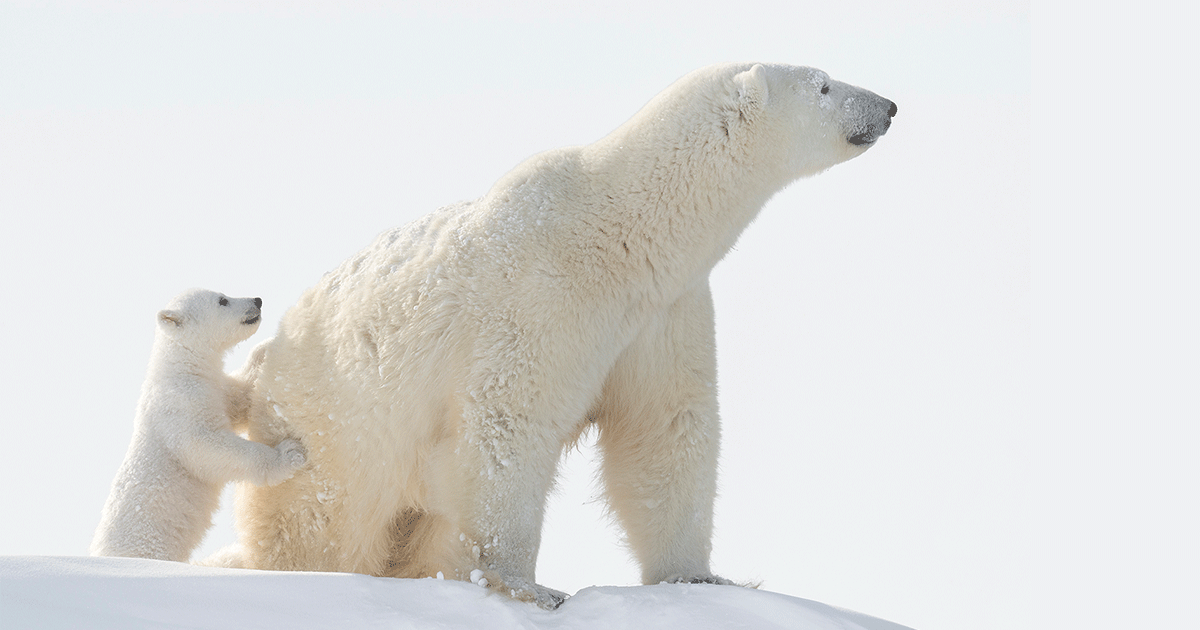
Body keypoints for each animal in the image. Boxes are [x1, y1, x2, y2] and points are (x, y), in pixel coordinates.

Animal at [90, 288, 307, 562]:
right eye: (222, 300)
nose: (257, 301)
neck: (181, 367)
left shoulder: (216, 389)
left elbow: (238, 398)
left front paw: (266, 347)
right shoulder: (181, 405)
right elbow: (206, 447)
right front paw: (290, 454)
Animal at [233, 63, 895, 607]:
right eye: (824, 84)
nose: (887, 105)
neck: (624, 229)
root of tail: (260, 366)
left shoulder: (662, 314)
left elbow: (665, 429)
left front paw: (700, 577)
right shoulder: (539, 295)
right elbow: (511, 422)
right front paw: (527, 585)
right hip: (334, 428)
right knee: (323, 521)